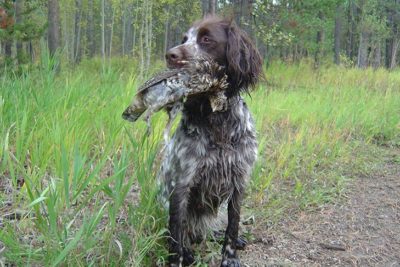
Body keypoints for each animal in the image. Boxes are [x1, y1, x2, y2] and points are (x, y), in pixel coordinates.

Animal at [159, 16, 262, 267]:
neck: (218, 123)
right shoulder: (182, 184)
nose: (170, 55)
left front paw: (230, 257)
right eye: (184, 39)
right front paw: (179, 258)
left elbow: (233, 224)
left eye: (206, 39)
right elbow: (176, 235)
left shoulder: (239, 180)